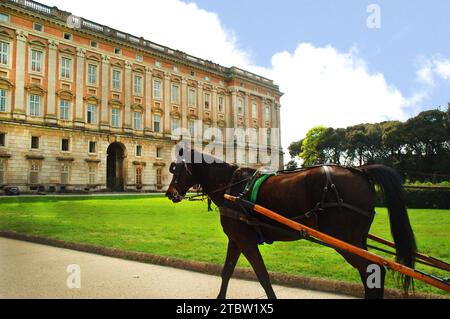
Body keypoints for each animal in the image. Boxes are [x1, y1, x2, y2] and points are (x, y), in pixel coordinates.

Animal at [166, 149, 418, 300]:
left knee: (373, 270)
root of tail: (360, 170)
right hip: (357, 240)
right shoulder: (236, 239)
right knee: (374, 272)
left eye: (176, 170)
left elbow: (262, 275)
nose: (169, 193)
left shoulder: (245, 240)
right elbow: (226, 272)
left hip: (344, 240)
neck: (233, 186)